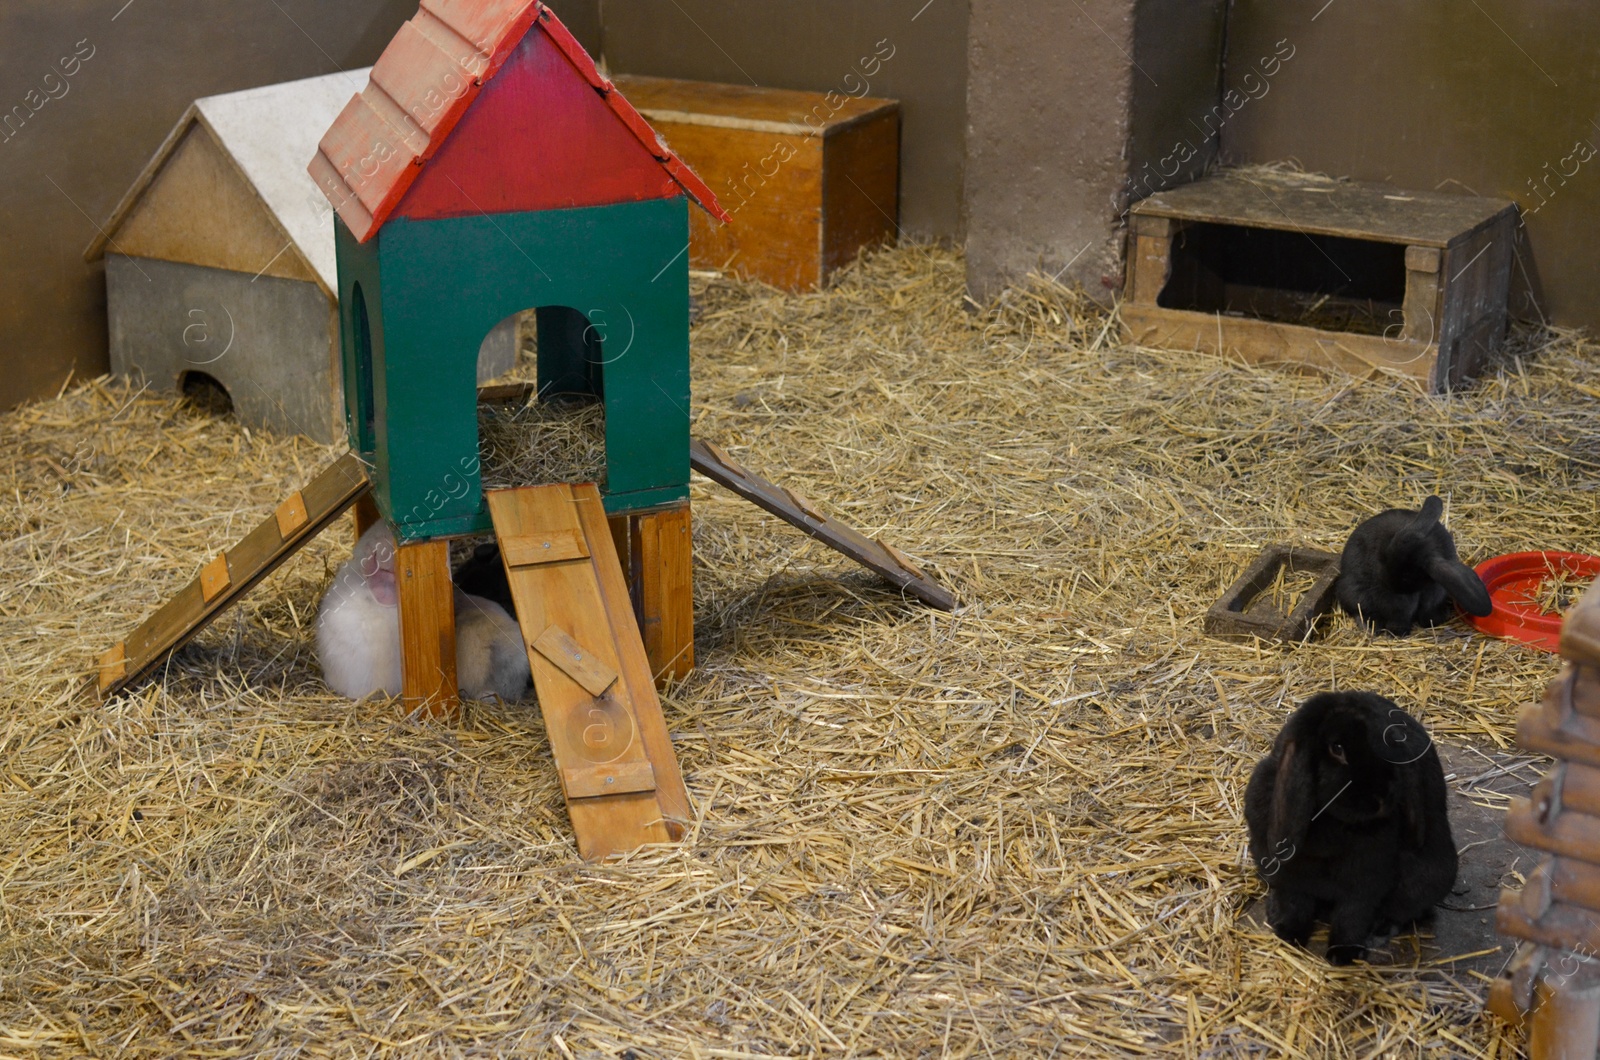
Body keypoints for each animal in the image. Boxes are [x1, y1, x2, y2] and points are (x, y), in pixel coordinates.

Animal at [1241, 694, 1459, 967]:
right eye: (1337, 748)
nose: (1383, 798)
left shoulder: (1367, 876)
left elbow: (1353, 913)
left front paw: (1344, 954)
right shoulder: (1291, 874)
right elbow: (1295, 903)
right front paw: (1289, 934)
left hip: (1431, 878)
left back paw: (1380, 931)